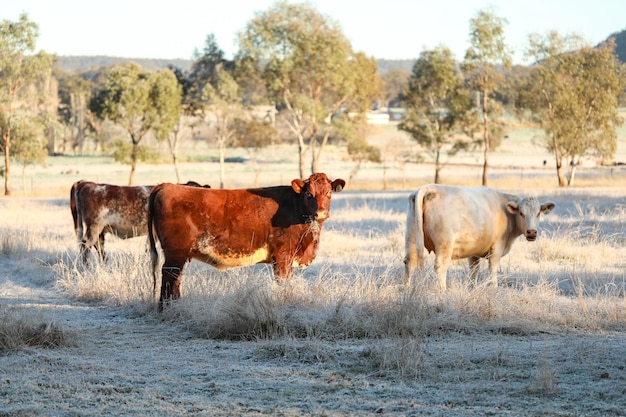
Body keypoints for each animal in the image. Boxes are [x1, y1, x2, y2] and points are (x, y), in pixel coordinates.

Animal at [148, 171, 344, 306]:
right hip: (175, 252)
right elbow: (283, 282)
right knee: (169, 276)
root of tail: (167, 185)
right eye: (308, 194)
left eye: (329, 193)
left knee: (176, 278)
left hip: (179, 254)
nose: (320, 213)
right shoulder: (283, 256)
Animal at [404, 184, 556, 290]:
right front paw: (494, 288)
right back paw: (442, 291)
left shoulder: (473, 251)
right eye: (521, 213)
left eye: (538, 213)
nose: (531, 232)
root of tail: (430, 188)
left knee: (410, 262)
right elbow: (493, 269)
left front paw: (472, 288)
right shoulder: (497, 247)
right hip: (445, 244)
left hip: (411, 238)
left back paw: (407, 291)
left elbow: (474, 271)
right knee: (440, 266)